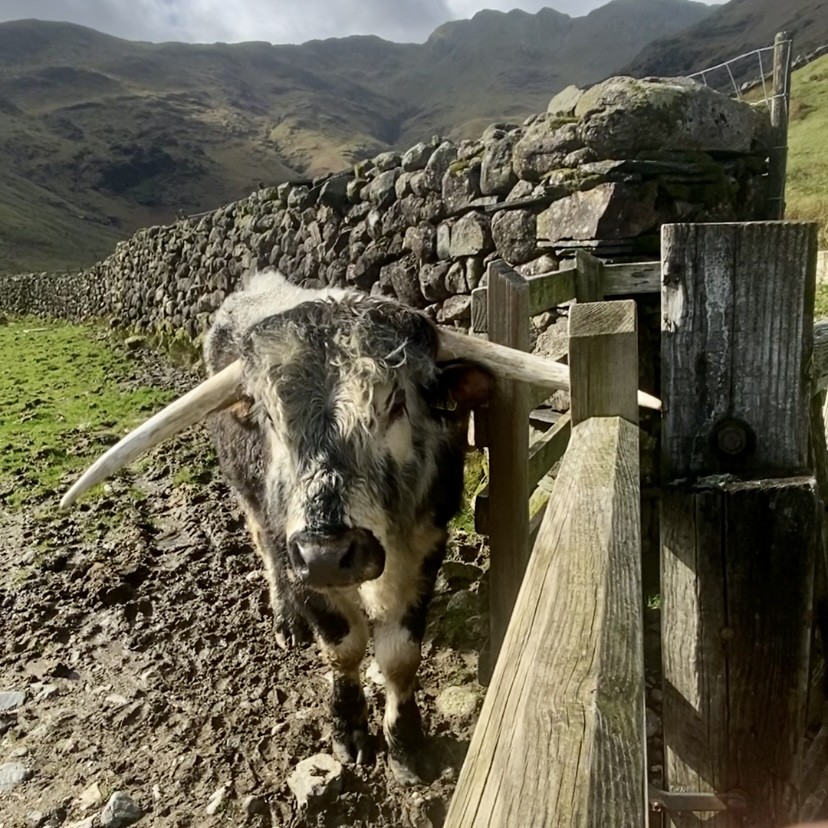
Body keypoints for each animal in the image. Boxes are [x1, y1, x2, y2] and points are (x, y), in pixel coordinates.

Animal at [60, 269, 577, 783]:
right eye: (270, 416)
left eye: (394, 403)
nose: (329, 554)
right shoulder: (301, 560)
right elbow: (343, 646)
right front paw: (349, 730)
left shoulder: (425, 543)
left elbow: (400, 655)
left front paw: (406, 744)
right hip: (255, 507)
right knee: (266, 553)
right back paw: (288, 622)